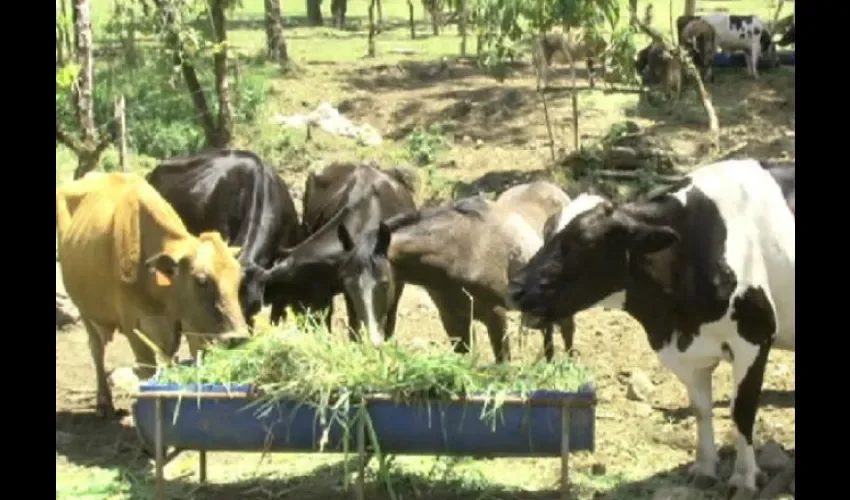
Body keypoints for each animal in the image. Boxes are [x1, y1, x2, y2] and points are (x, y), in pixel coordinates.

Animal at [57, 173, 245, 418]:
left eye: (239, 278)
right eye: (201, 281)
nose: (240, 336)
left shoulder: (190, 322)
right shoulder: (133, 326)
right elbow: (148, 369)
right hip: (86, 311)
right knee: (97, 351)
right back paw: (104, 402)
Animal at [510, 158, 796, 494]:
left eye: (587, 242)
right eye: (546, 231)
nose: (516, 288)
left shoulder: (753, 338)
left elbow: (742, 410)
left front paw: (744, 478)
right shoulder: (684, 351)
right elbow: (701, 409)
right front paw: (704, 469)